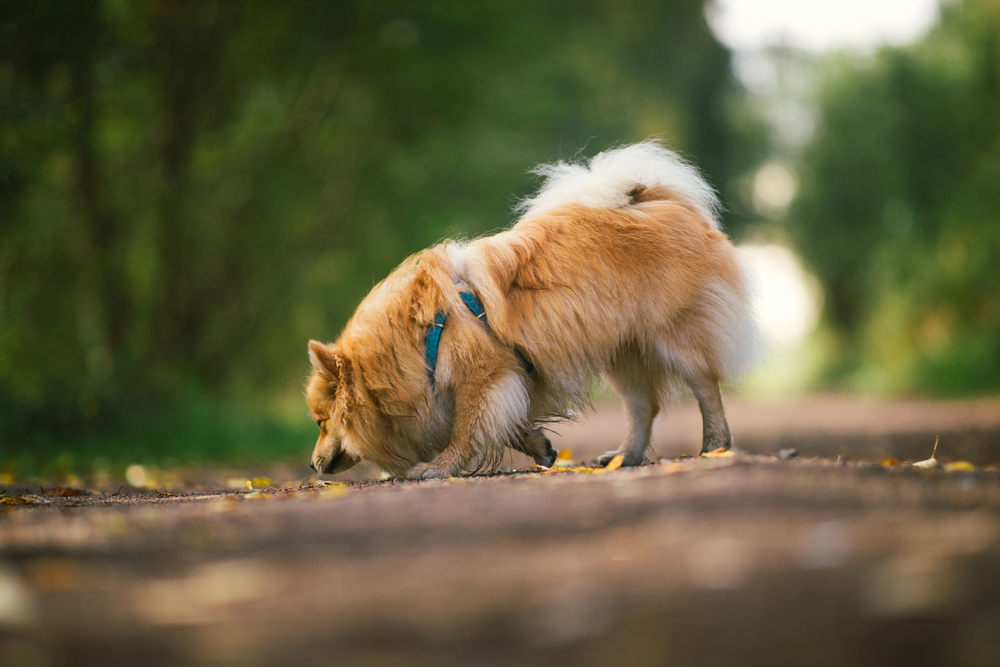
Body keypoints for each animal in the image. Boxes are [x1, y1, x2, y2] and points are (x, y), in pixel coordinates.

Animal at [304, 142, 756, 480]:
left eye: (321, 423)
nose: (311, 464)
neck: (417, 338)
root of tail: (659, 201)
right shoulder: (509, 379)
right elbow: (508, 427)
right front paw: (540, 447)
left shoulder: (484, 377)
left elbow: (466, 430)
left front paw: (438, 467)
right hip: (625, 352)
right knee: (643, 408)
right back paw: (622, 458)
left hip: (676, 339)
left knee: (705, 388)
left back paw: (714, 445)